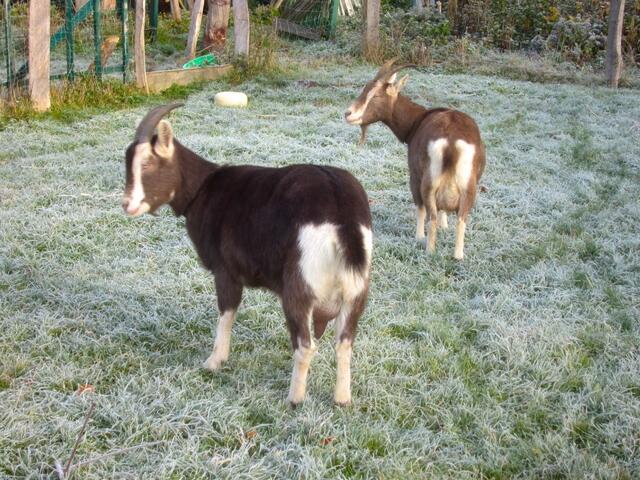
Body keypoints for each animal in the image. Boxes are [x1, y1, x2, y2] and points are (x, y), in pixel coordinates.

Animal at [121, 104, 372, 406]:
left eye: (147, 163)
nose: (127, 204)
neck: (204, 188)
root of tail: (341, 212)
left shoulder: (225, 271)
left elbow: (226, 312)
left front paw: (214, 361)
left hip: (299, 286)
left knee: (305, 345)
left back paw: (295, 398)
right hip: (356, 291)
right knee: (345, 342)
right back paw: (342, 399)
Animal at [345, 60, 486, 260]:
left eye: (377, 96)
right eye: (365, 89)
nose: (348, 113)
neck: (416, 121)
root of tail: (451, 143)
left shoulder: (414, 174)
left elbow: (420, 208)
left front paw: (418, 237)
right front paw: (445, 226)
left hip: (428, 182)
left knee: (430, 215)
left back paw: (429, 251)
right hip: (469, 186)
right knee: (461, 218)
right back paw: (458, 256)